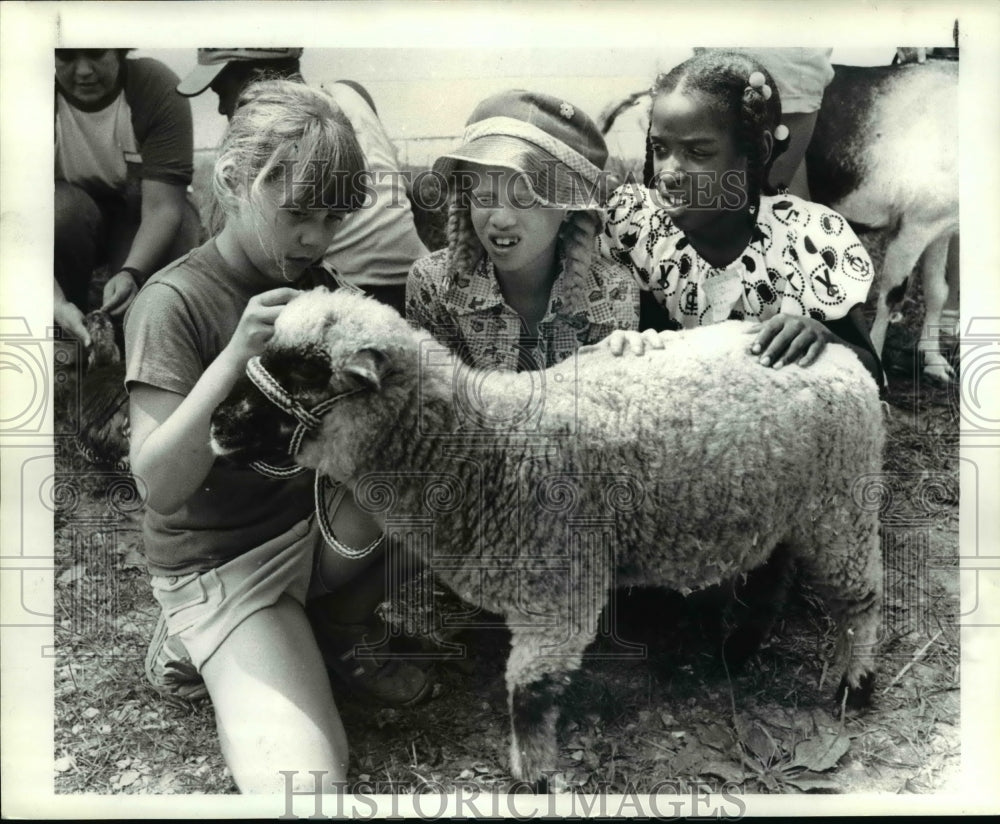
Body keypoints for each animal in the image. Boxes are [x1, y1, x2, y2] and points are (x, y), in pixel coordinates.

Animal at [209, 288, 884, 784]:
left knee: (860, 598)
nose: (218, 425)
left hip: (842, 503)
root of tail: (842, 356)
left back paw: (855, 685)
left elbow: (527, 694)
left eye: (309, 370)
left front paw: (530, 777)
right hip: (782, 505)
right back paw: (738, 651)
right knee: (773, 571)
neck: (490, 447)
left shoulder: (557, 595)